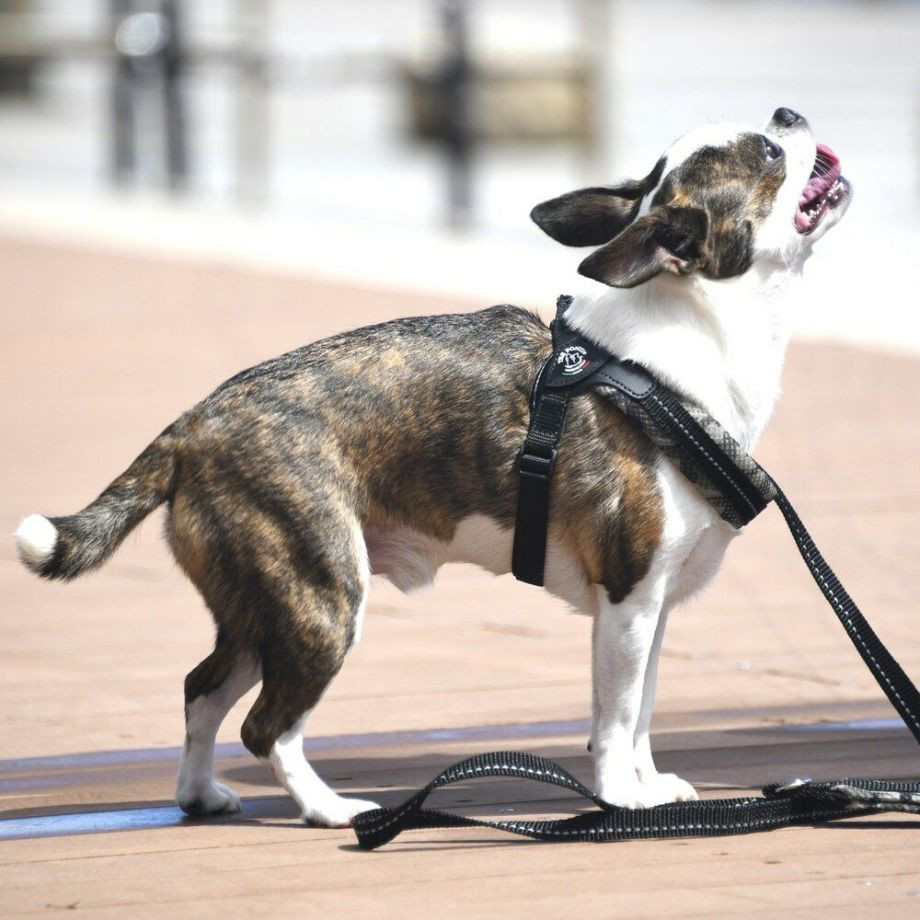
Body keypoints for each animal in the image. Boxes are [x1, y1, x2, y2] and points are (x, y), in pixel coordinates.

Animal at [14, 106, 852, 828]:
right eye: (770, 155)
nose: (787, 113)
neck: (687, 341)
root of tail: (192, 427)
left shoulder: (653, 610)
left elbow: (641, 712)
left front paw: (649, 784)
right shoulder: (628, 601)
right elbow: (615, 718)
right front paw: (622, 797)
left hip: (260, 610)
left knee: (203, 690)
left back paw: (199, 794)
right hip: (321, 600)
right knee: (265, 726)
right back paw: (328, 809)